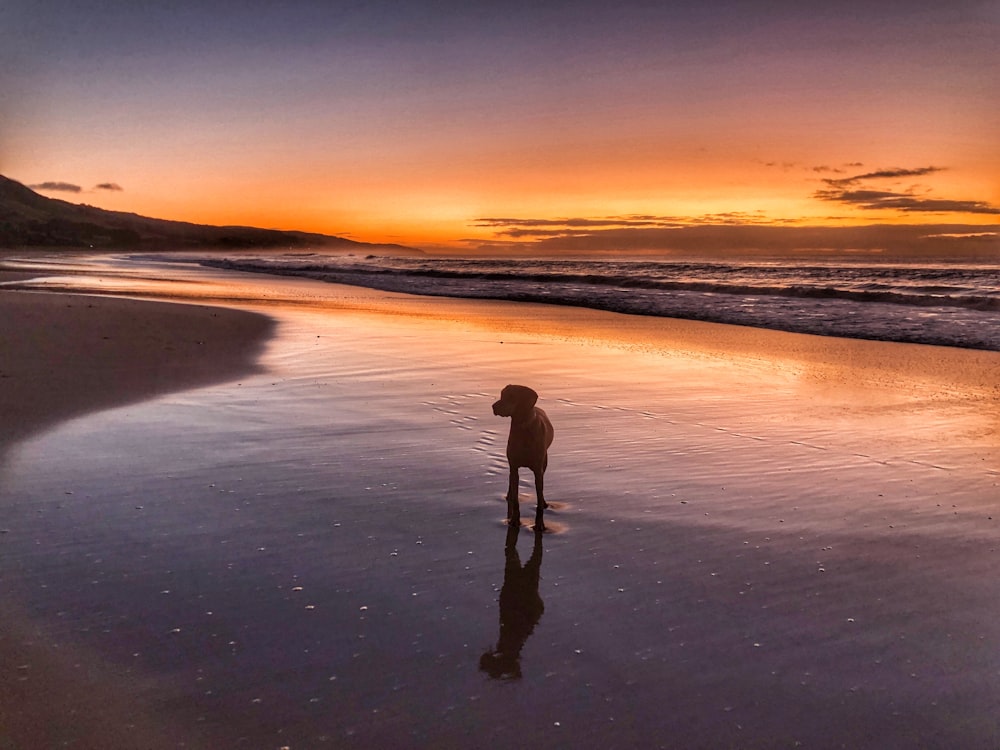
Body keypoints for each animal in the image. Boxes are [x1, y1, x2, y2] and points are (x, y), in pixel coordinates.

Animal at [492, 384, 556, 532]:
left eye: (511, 396)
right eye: (502, 395)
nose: (493, 407)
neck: (522, 427)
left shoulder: (538, 470)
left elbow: (539, 495)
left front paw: (539, 525)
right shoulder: (514, 466)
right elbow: (516, 499)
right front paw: (514, 521)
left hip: (544, 462)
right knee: (511, 483)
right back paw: (509, 496)